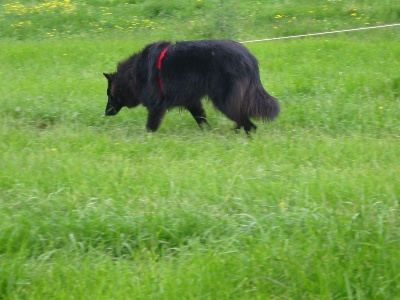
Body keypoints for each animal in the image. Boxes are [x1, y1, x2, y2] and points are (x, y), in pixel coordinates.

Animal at [103, 39, 280, 133]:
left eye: (109, 95)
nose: (105, 113)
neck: (133, 74)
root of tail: (249, 59)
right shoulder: (192, 102)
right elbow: (201, 119)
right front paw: (207, 133)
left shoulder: (156, 106)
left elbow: (150, 126)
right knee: (242, 120)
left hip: (224, 101)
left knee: (249, 124)